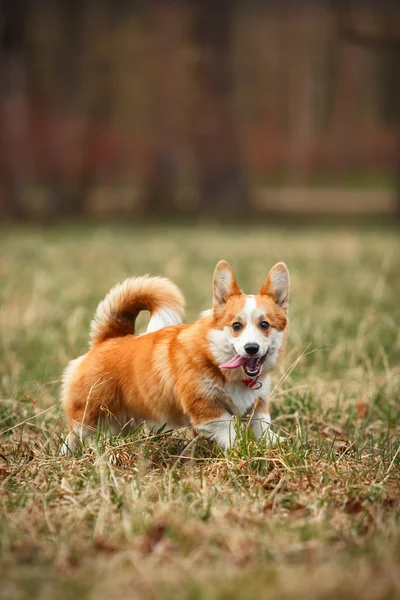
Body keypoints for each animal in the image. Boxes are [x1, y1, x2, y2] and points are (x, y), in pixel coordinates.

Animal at [59, 260, 290, 452]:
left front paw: (277, 444)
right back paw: (68, 455)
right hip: (89, 414)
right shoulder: (207, 411)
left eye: (265, 325)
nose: (251, 348)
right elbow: (229, 432)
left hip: (121, 421)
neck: (215, 357)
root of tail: (108, 339)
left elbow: (263, 428)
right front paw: (243, 450)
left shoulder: (257, 408)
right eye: (236, 326)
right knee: (73, 435)